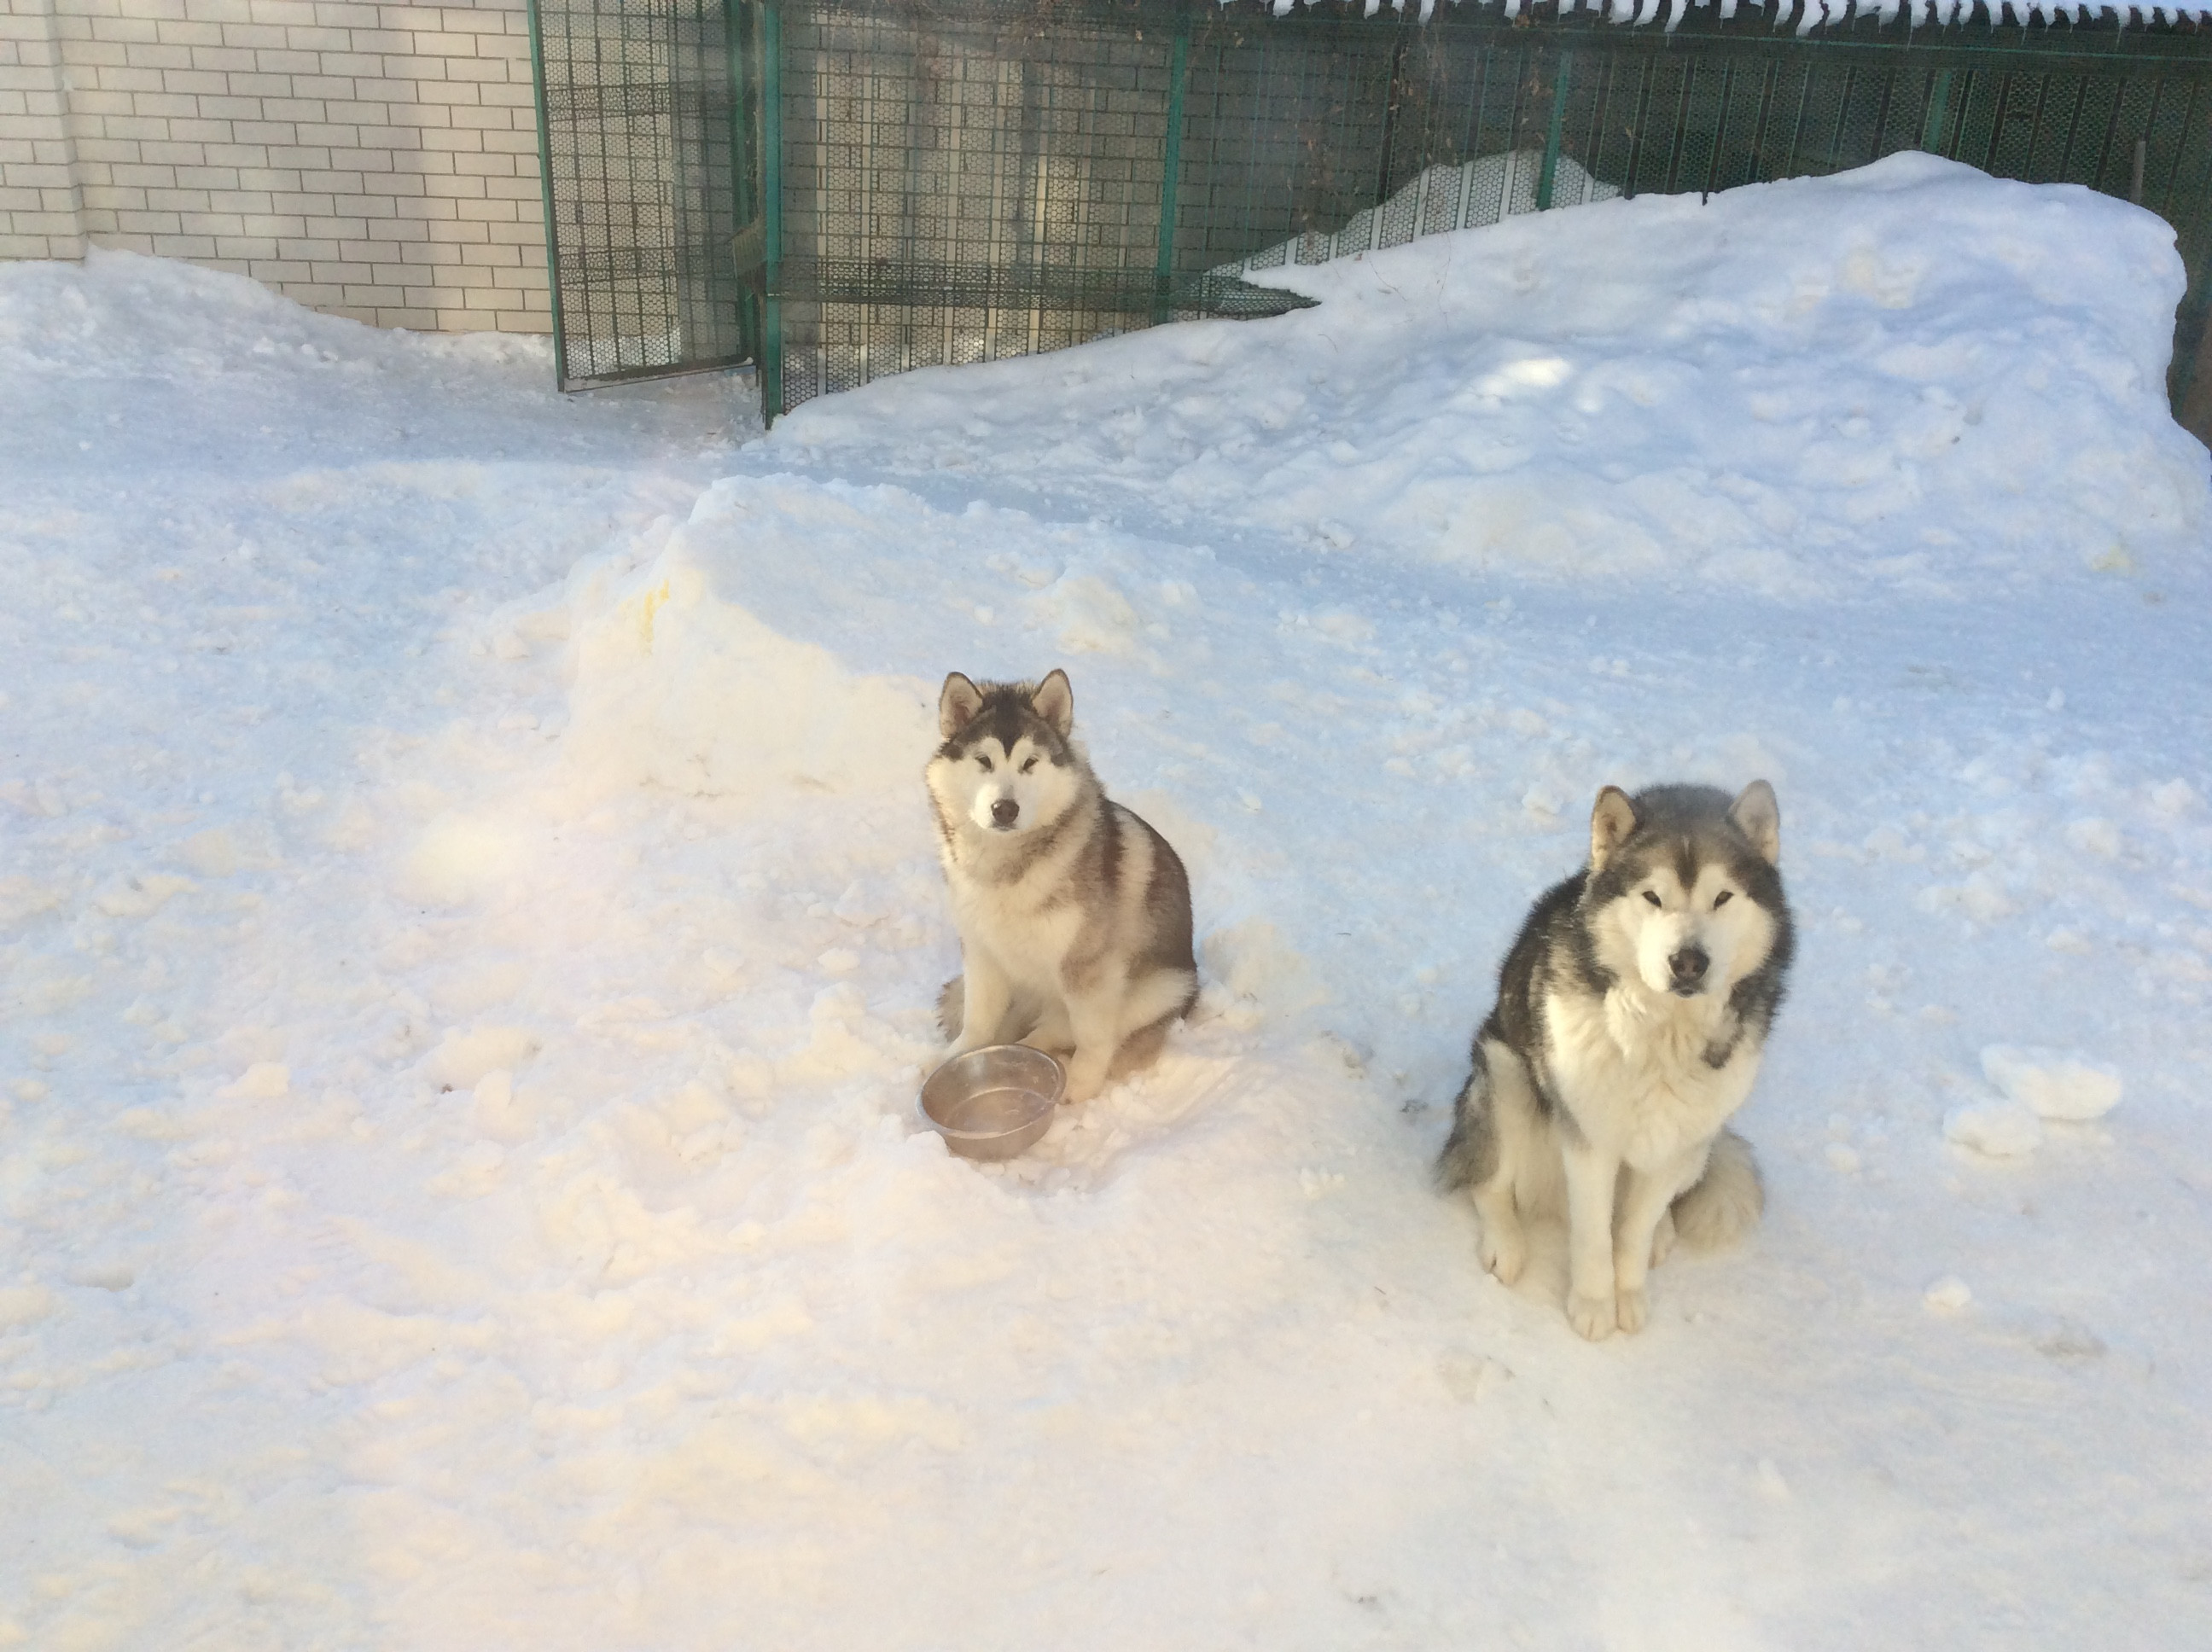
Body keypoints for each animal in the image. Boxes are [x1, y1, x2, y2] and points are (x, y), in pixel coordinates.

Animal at [924, 663, 1203, 1105]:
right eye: (983, 760)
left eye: (1030, 762)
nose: (1005, 808)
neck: (1007, 866)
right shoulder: (981, 951)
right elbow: (978, 1019)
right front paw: (955, 1059)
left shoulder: (1089, 968)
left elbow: (1092, 1037)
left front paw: (1081, 1085)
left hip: (1159, 988)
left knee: (1062, 1029)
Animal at [1433, 782, 1796, 1335]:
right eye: (1652, 897)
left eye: (1722, 897)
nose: (1688, 962)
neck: (1662, 1035)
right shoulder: (1589, 1139)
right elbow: (1593, 1234)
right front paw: (1593, 1303)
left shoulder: (1676, 1142)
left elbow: (1631, 1231)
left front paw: (1628, 1292)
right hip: (1505, 1076)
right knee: (1488, 1181)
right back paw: (1506, 1245)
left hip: (1703, 1144)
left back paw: (1664, 1231)